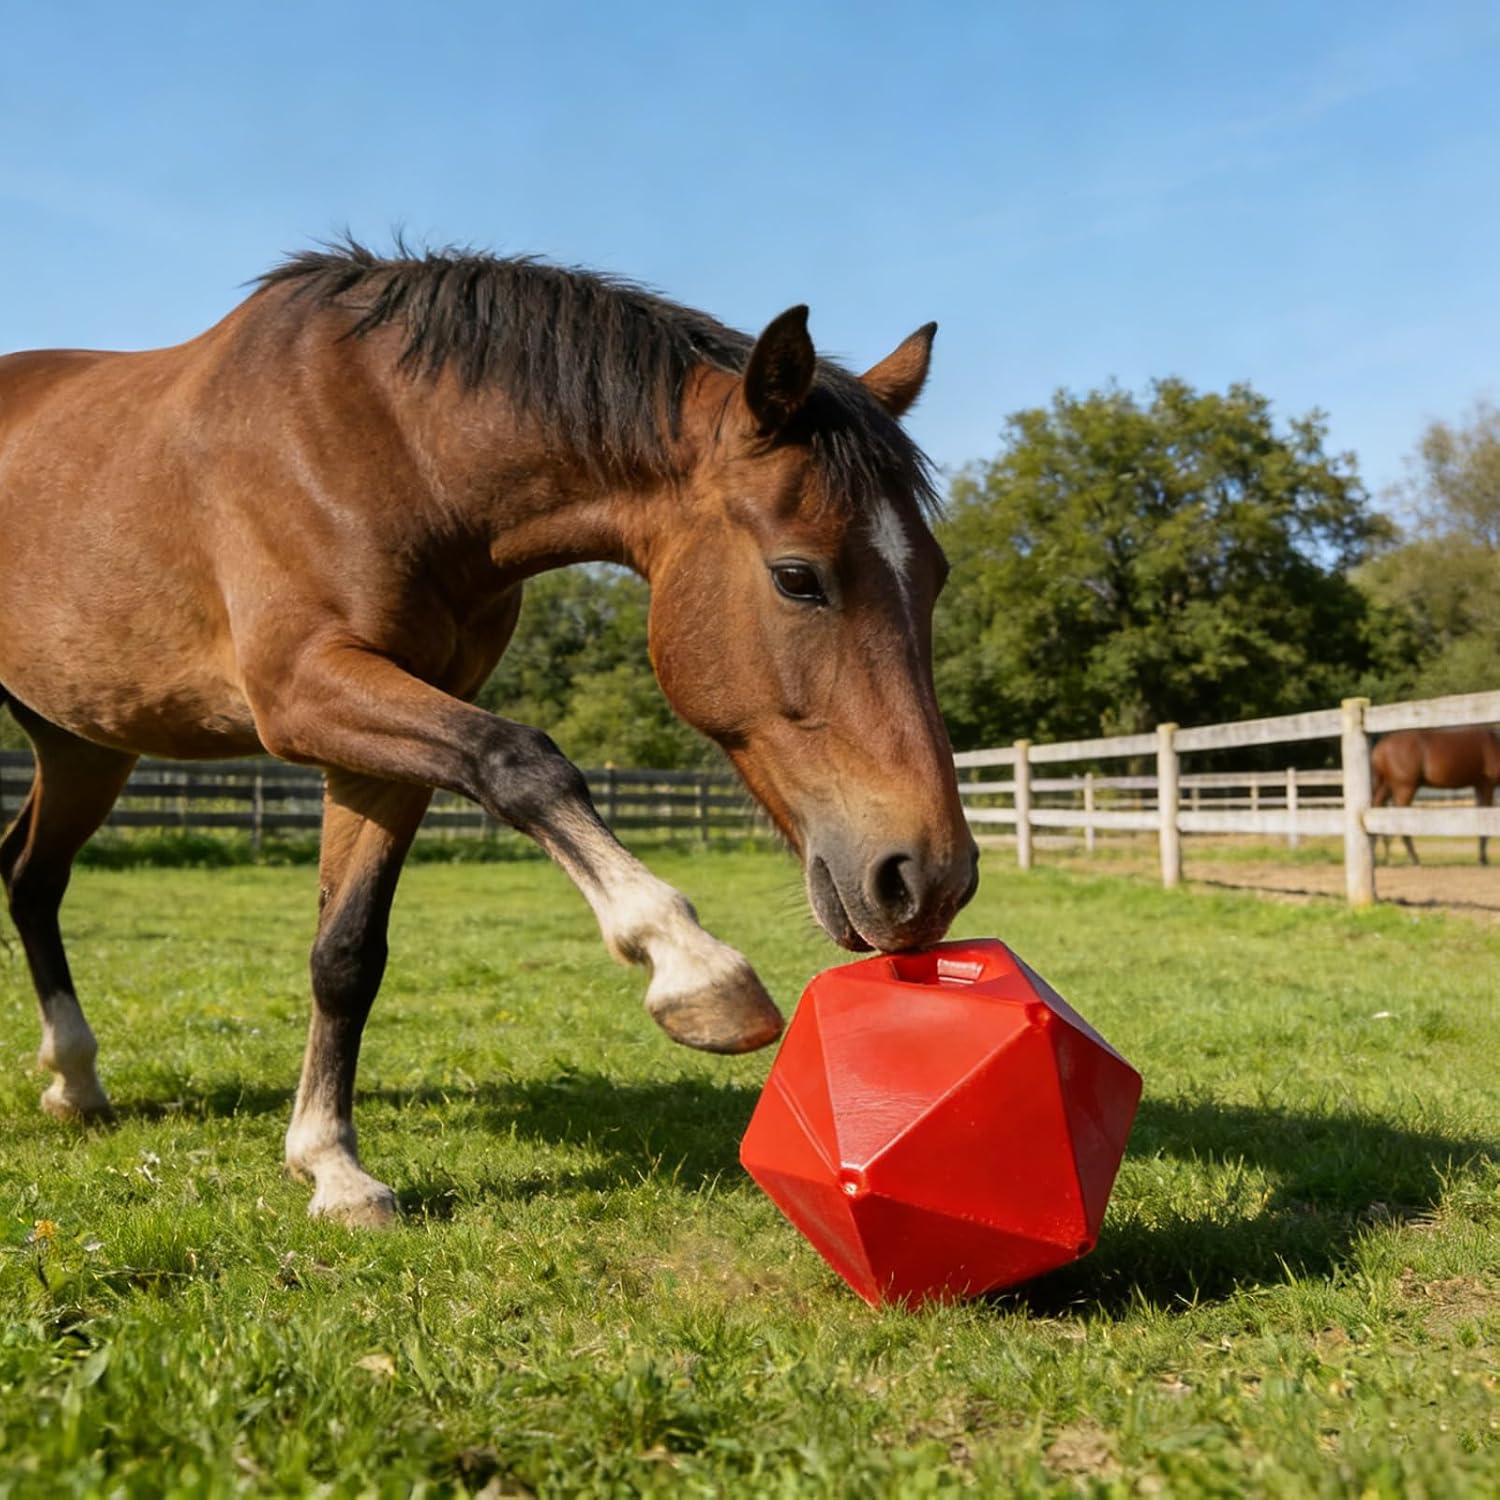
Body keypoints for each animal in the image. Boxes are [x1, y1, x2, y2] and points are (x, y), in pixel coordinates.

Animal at [0, 241, 978, 1227]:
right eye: (796, 577)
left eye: (935, 577)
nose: (928, 876)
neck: (382, 444)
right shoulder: (306, 690)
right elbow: (523, 761)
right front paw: (695, 970)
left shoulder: (387, 740)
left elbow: (346, 954)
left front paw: (331, 1165)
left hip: (85, 743)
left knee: (32, 877)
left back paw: (76, 1083)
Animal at [1370, 727, 1500, 865]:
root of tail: (1380, 749)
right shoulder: (1487, 784)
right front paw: (1483, 859)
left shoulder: (1479, 785)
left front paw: (1482, 857)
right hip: (1404, 788)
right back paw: (1414, 858)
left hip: (1386, 787)